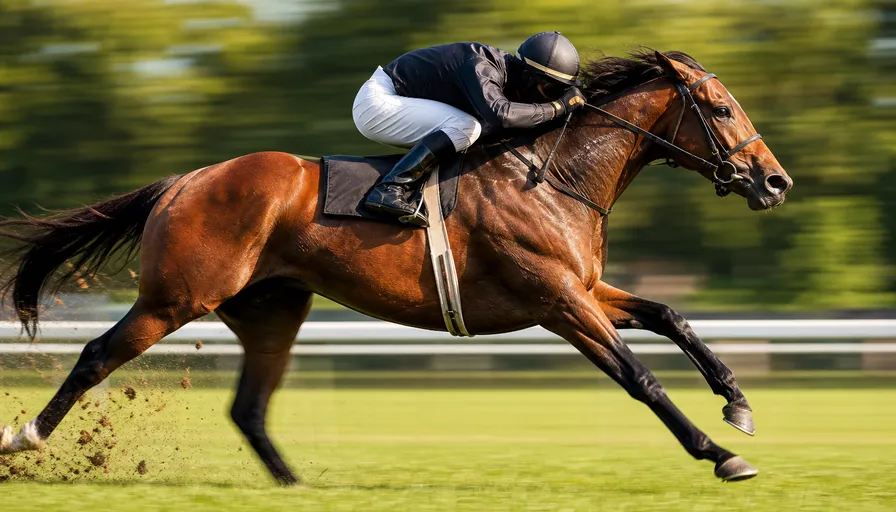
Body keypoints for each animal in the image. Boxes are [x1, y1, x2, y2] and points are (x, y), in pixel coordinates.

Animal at [0, 50, 791, 485]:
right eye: (721, 108)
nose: (775, 181)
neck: (554, 173)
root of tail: (183, 182)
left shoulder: (586, 287)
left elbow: (671, 315)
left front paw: (738, 403)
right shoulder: (560, 302)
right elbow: (640, 377)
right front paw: (719, 452)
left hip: (272, 308)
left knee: (249, 406)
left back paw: (295, 484)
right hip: (175, 297)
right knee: (98, 355)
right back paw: (24, 437)